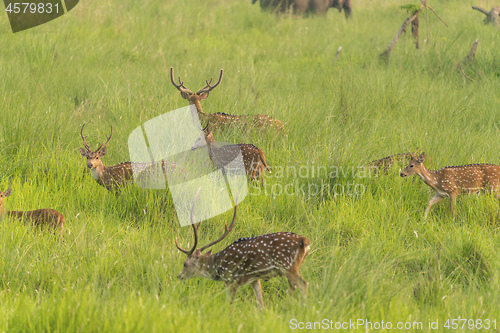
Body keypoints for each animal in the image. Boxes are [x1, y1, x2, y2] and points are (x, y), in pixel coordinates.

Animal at [176, 195, 308, 306]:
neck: (219, 268)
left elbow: (229, 304)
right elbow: (260, 303)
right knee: (293, 287)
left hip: (288, 266)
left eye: (185, 264)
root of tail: (304, 241)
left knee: (303, 284)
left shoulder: (232, 279)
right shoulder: (255, 279)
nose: (179, 276)